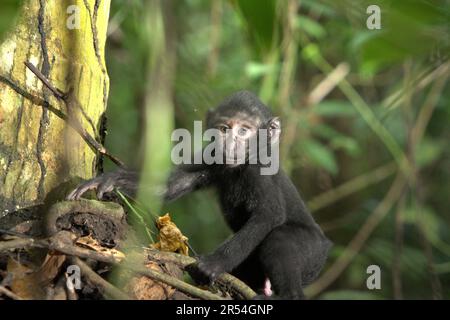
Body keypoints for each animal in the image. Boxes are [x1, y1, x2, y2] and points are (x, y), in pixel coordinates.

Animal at [68, 90, 332, 300]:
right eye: (224, 129)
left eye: (244, 131)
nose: (230, 144)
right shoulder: (211, 155)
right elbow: (173, 185)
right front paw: (111, 180)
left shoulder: (260, 170)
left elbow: (269, 215)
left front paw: (212, 265)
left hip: (314, 251)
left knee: (280, 239)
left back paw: (288, 294)